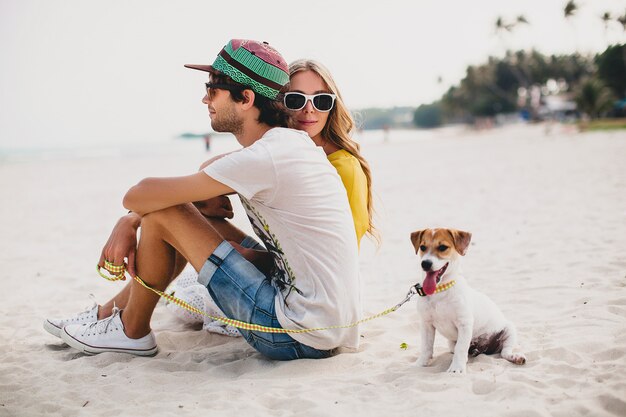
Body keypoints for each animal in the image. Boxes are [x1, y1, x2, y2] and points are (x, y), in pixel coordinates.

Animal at [410, 229, 520, 372]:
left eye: (442, 247)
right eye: (422, 247)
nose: (425, 264)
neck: (440, 291)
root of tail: (485, 349)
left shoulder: (464, 324)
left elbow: (460, 349)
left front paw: (456, 368)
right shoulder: (426, 324)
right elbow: (426, 348)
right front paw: (420, 364)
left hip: (509, 330)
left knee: (505, 351)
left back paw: (515, 357)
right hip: (451, 342)